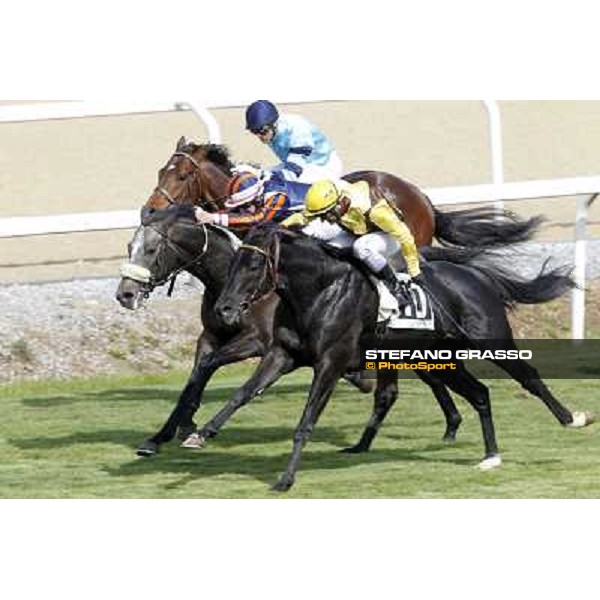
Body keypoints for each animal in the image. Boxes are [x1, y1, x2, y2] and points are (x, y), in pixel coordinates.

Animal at [212, 225, 596, 492]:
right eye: (232, 264)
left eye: (253, 264)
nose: (224, 308)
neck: (321, 290)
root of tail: (476, 275)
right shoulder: (284, 354)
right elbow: (242, 393)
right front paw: (204, 432)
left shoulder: (331, 363)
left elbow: (305, 422)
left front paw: (285, 479)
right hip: (440, 357)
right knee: (480, 393)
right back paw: (491, 456)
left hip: (492, 340)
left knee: (528, 376)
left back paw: (571, 418)